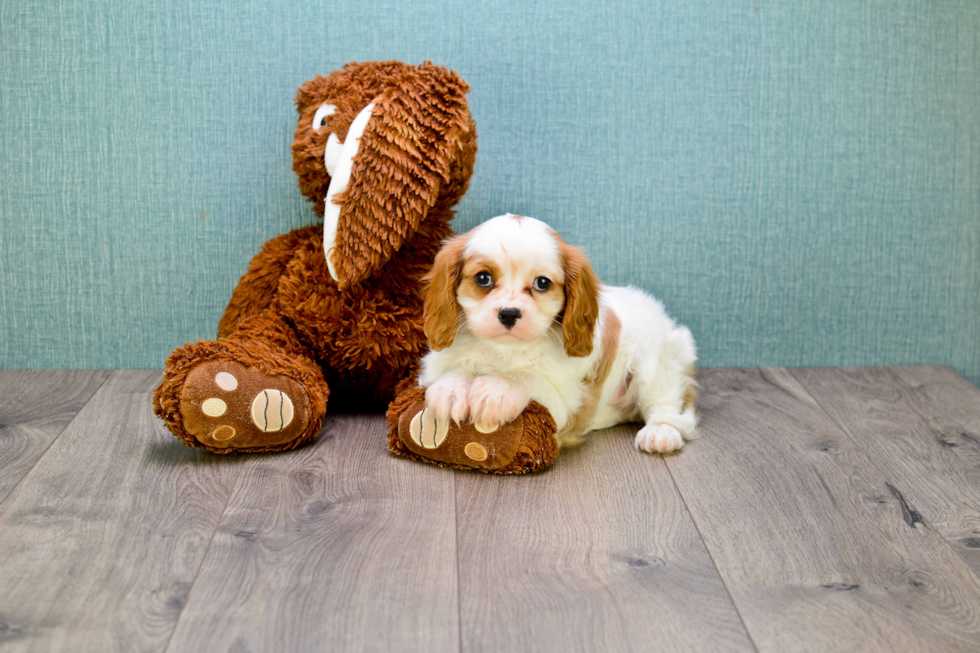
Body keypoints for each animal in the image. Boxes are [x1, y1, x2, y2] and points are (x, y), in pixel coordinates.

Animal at [418, 214, 700, 454]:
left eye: (542, 283)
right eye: (483, 278)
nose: (509, 313)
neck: (505, 350)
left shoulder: (567, 404)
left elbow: (527, 377)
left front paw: (497, 389)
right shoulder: (433, 367)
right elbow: (453, 369)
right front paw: (449, 388)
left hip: (656, 363)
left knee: (668, 405)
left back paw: (660, 433)